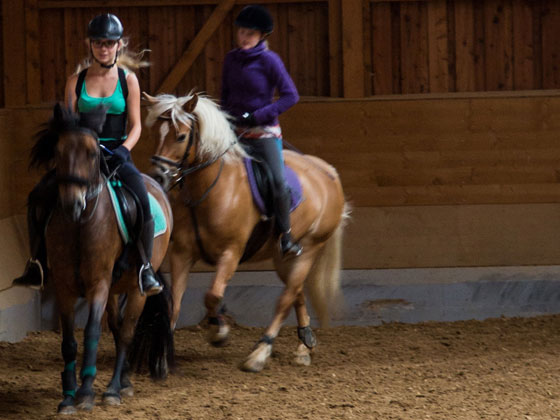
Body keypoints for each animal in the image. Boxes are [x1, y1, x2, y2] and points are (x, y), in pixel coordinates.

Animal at [30, 103, 173, 412]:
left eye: (93, 154)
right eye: (59, 152)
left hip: (136, 288)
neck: (81, 224)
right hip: (114, 289)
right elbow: (69, 341)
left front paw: (85, 393)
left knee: (127, 332)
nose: (73, 203)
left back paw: (113, 390)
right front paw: (68, 396)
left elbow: (92, 333)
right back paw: (124, 381)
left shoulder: (98, 284)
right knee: (118, 330)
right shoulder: (64, 285)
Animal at [142, 91, 348, 370]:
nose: (158, 176)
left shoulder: (231, 252)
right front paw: (164, 354)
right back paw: (304, 345)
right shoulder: (182, 253)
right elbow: (176, 300)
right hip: (284, 257)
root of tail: (328, 171)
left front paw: (218, 332)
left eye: (181, 136)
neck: (209, 187)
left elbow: (212, 295)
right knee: (296, 292)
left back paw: (261, 352)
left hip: (310, 247)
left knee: (286, 298)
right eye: (155, 133)